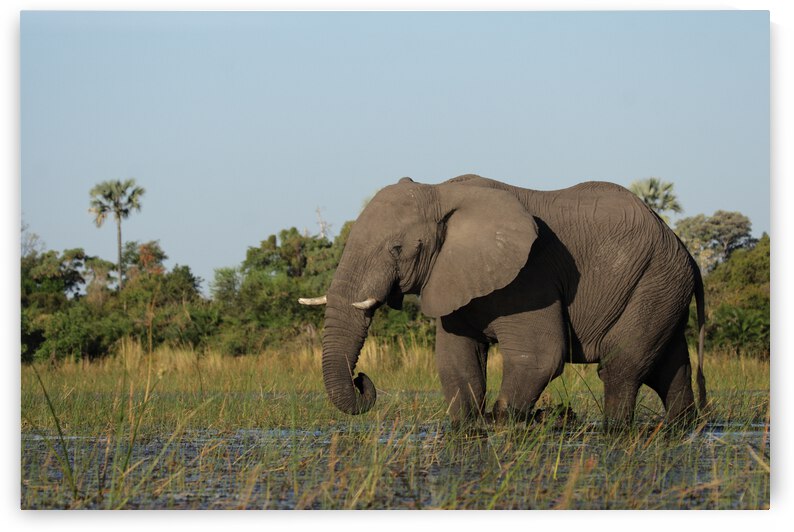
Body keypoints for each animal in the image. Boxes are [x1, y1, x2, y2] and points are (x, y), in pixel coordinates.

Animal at [299, 174, 706, 430]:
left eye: (397, 248)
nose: (361, 379)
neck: (441, 192)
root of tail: (683, 247)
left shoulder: (531, 274)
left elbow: (539, 356)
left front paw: (503, 425)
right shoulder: (451, 277)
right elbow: (457, 364)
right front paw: (468, 428)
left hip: (655, 279)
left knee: (621, 366)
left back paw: (616, 430)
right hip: (660, 286)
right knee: (668, 367)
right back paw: (681, 427)